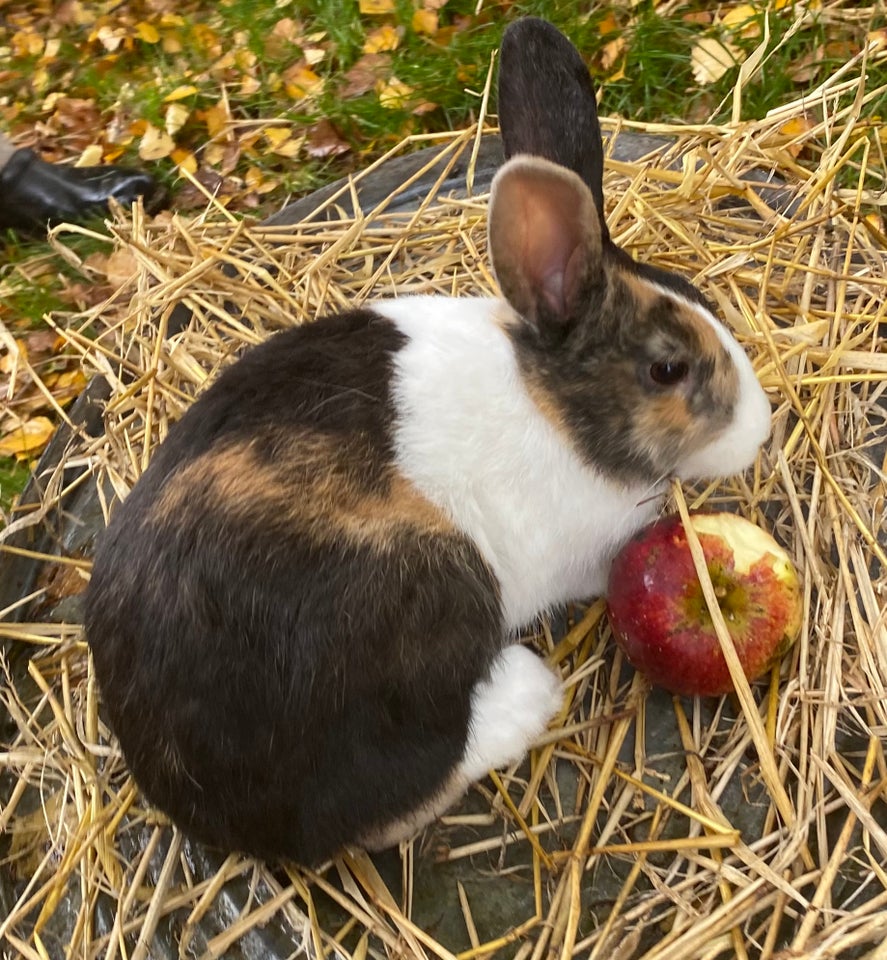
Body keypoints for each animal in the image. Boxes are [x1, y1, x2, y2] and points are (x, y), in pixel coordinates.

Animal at [86, 18, 772, 868]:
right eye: (667, 368)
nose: (759, 429)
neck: (548, 403)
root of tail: (201, 801)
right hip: (429, 584)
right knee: (391, 791)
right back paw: (524, 694)